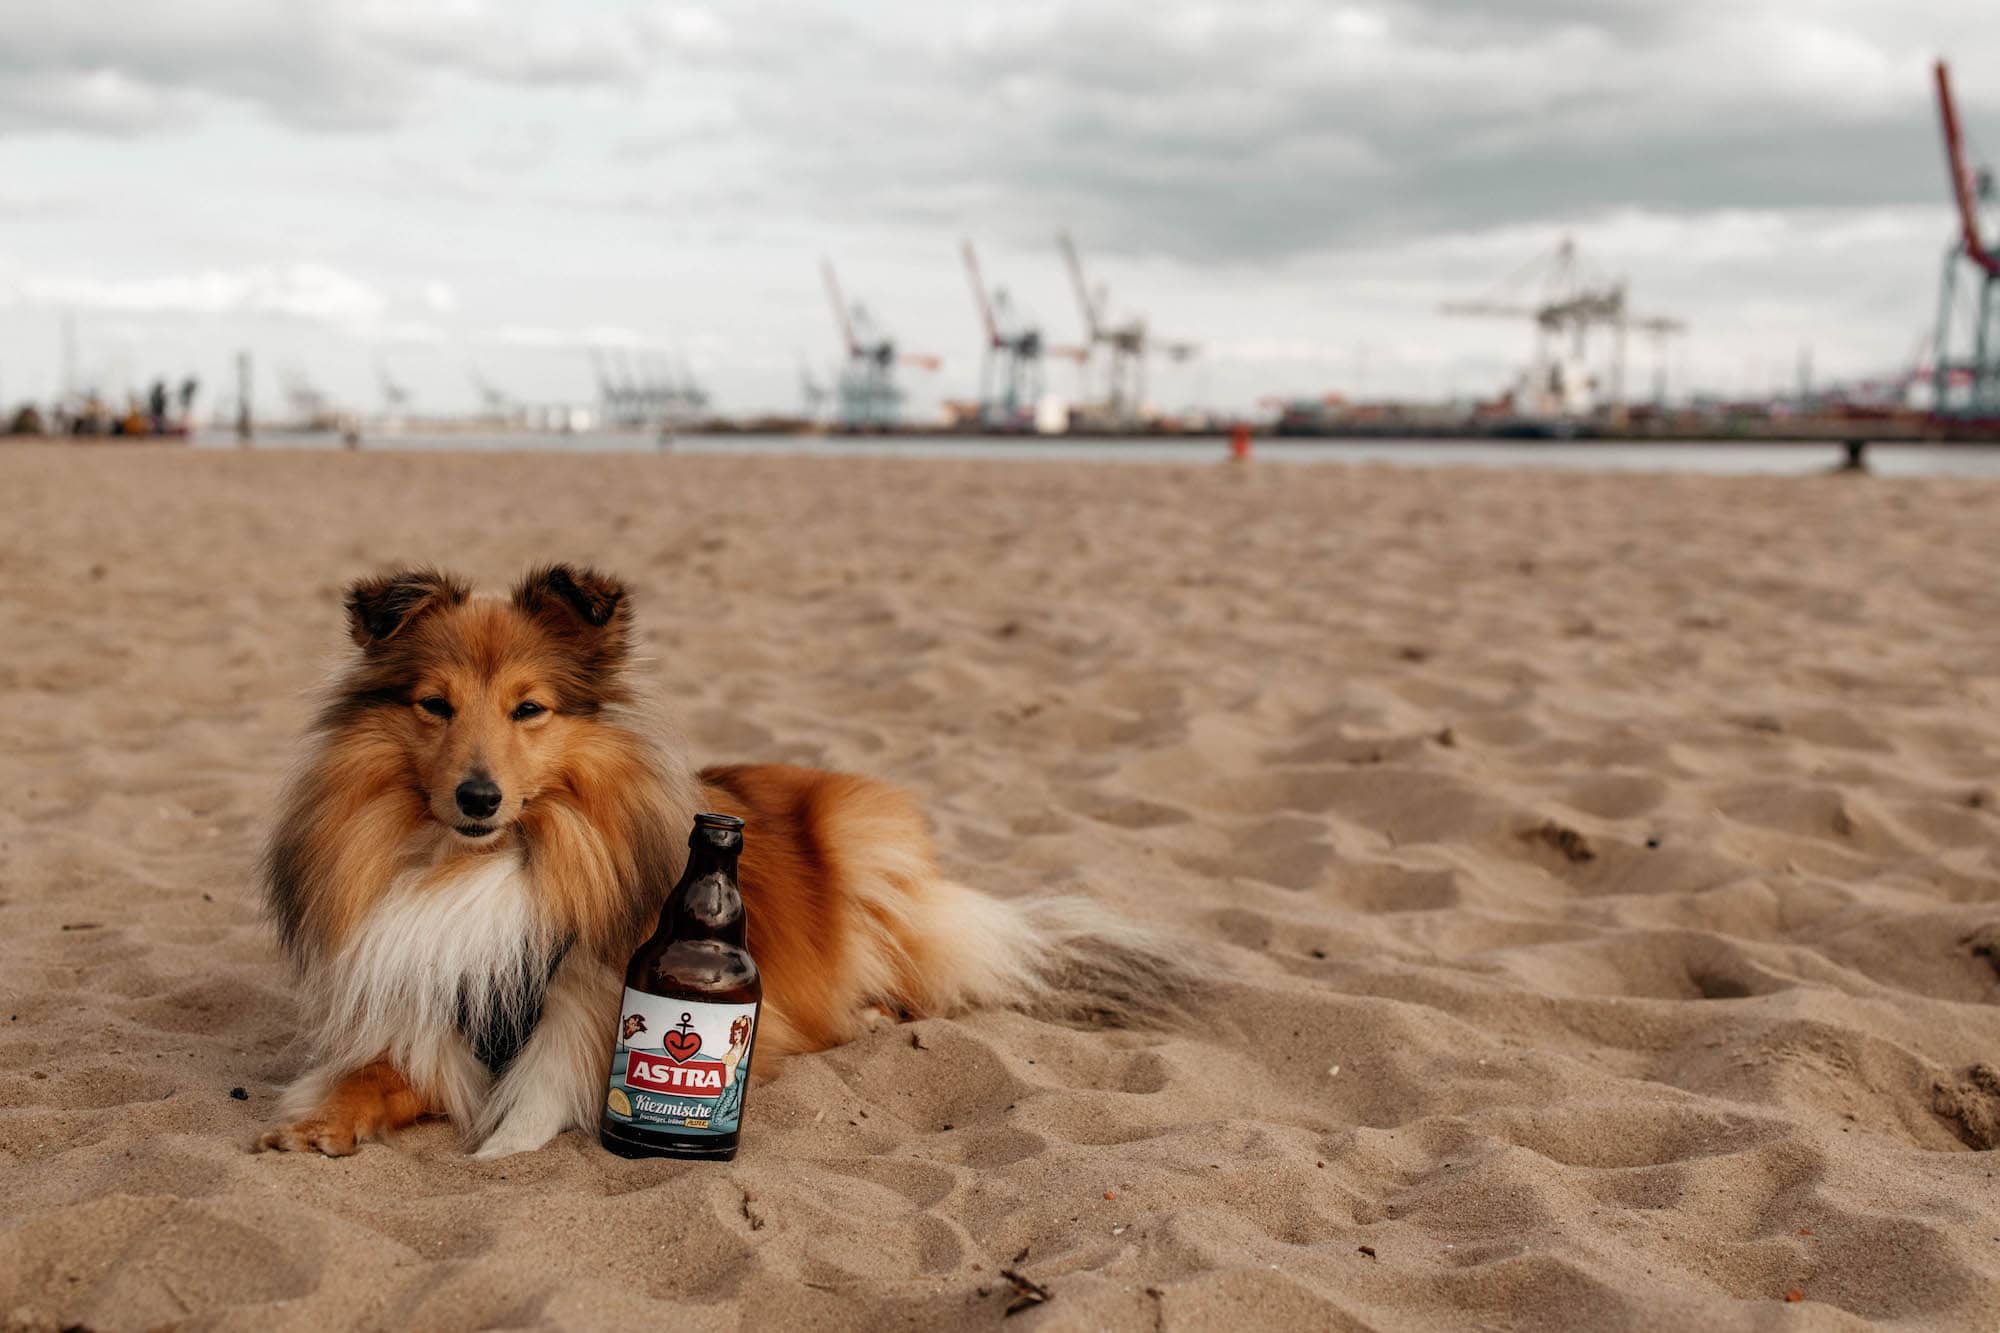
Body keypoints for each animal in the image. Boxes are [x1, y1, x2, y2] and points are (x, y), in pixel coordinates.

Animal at [250, 560, 1184, 1152]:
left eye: (529, 709)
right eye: (434, 705)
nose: (478, 798)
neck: (480, 863)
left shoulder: (583, 1026)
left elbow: (544, 1103)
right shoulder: (430, 1004)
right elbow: (377, 1072)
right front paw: (318, 1120)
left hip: (865, 841)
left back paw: (870, 1013)